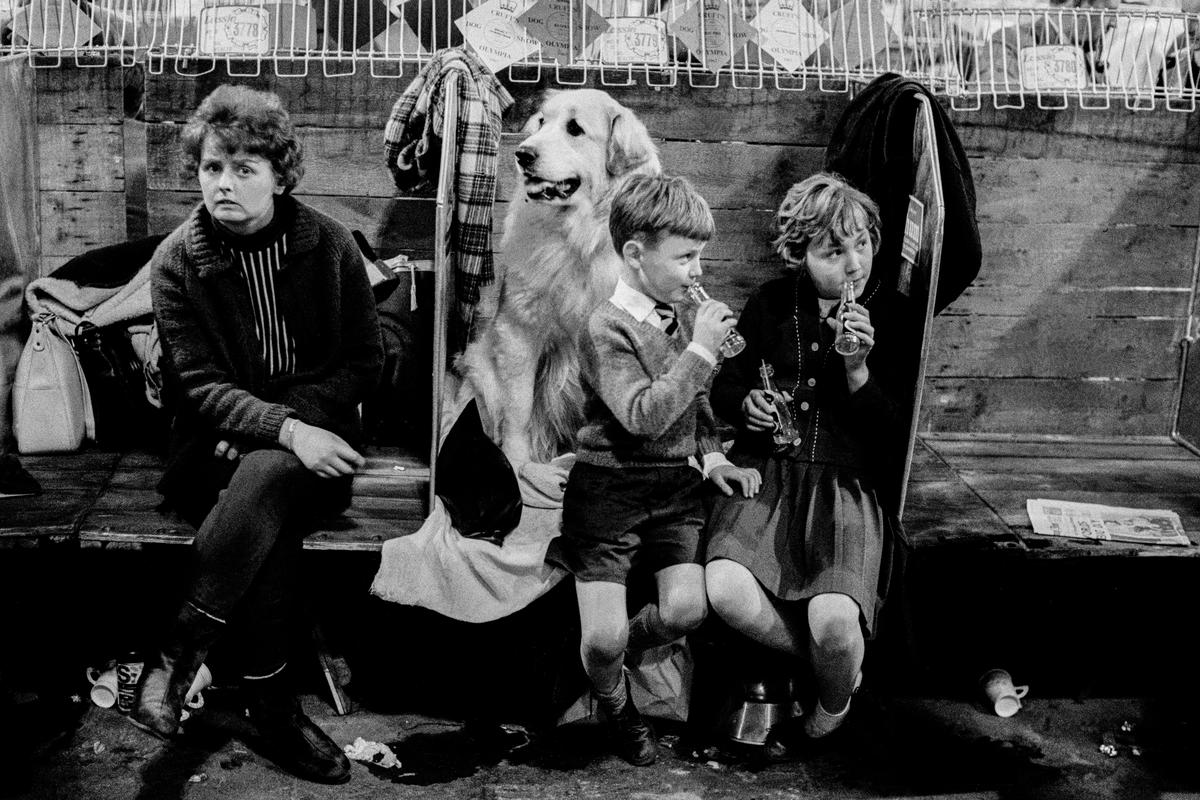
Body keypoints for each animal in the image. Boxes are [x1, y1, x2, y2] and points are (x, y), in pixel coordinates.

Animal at [458, 89, 662, 465]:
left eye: (575, 129)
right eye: (541, 123)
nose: (523, 154)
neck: (576, 237)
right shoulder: (519, 332)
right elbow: (519, 411)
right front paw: (519, 464)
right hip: (482, 368)